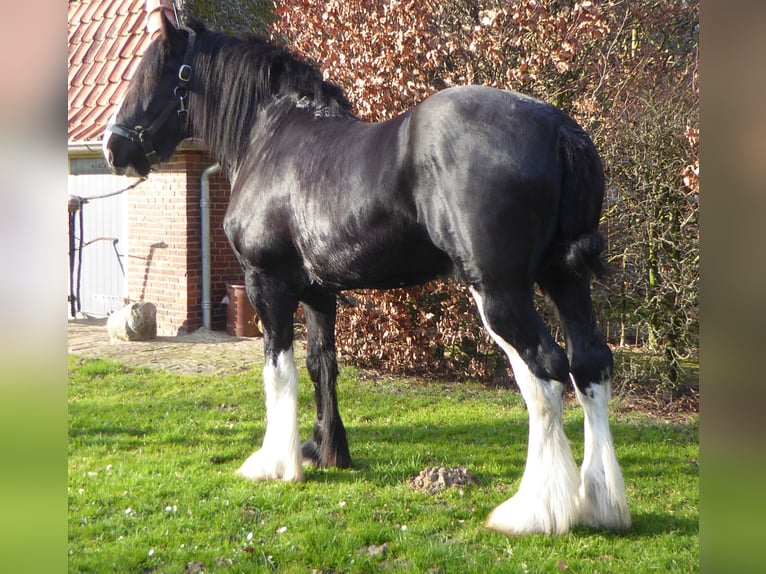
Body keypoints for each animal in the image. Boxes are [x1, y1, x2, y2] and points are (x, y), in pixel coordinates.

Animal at [103, 14, 630, 535]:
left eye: (152, 72)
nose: (113, 147)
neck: (270, 138)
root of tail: (559, 128)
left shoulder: (265, 282)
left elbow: (278, 368)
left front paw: (275, 463)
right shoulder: (318, 291)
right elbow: (321, 365)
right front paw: (325, 451)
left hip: (499, 291)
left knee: (545, 373)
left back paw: (535, 511)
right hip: (564, 280)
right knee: (589, 364)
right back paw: (600, 503)